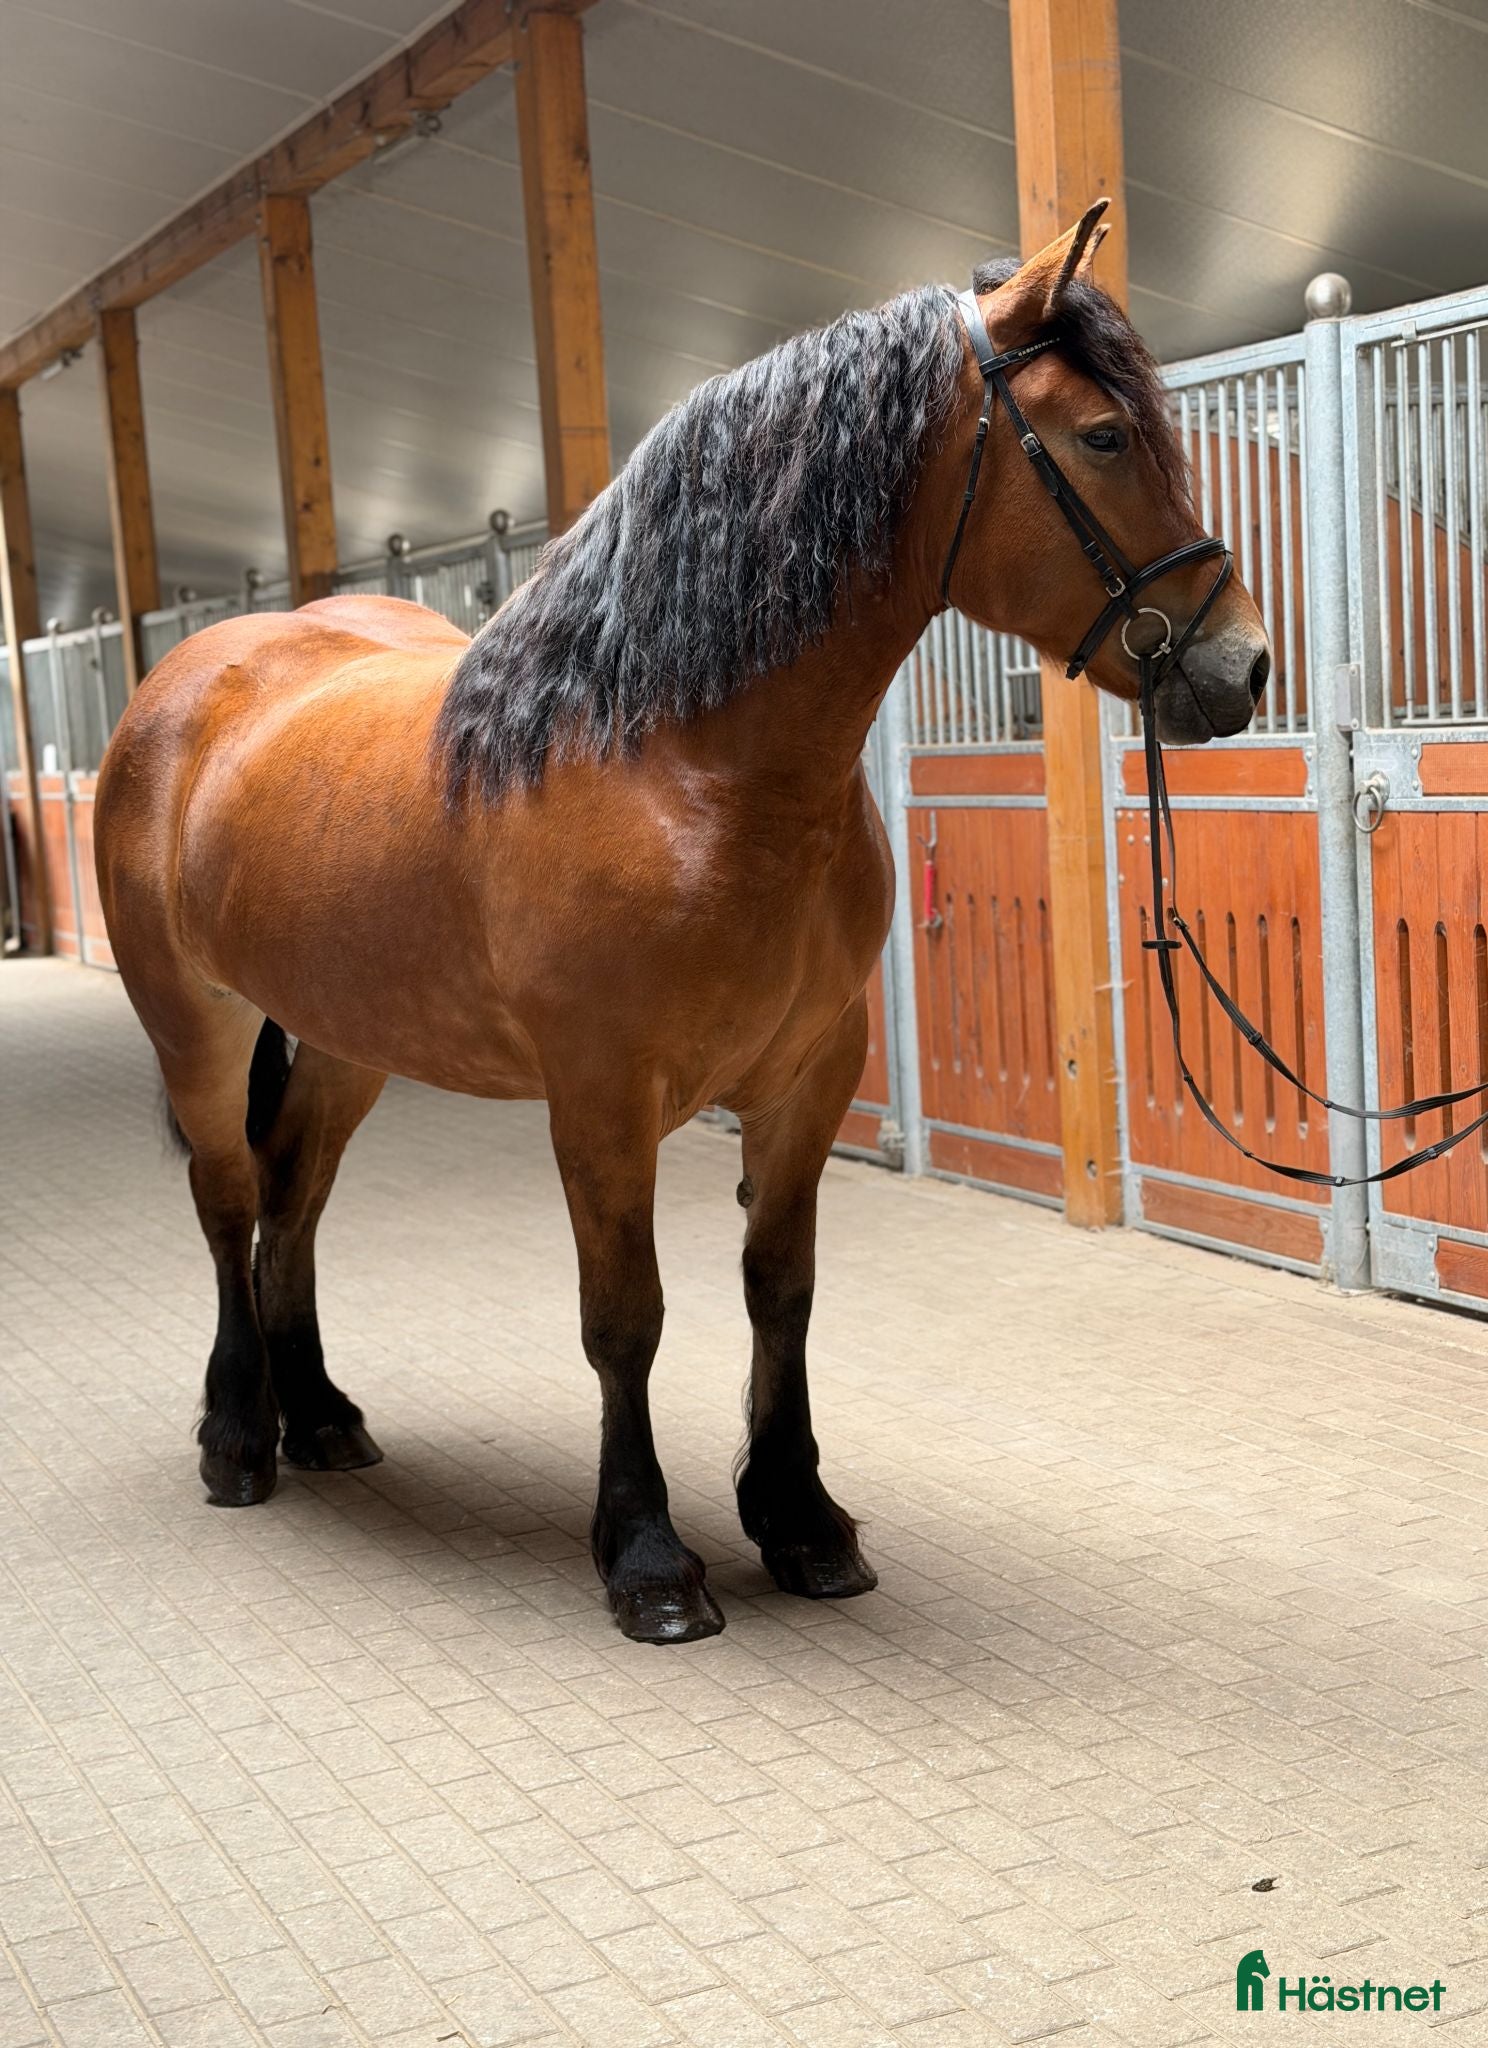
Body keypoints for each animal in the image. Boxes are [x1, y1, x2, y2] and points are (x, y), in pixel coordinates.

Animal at [94, 201, 1269, 1645]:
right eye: (1105, 437)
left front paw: (802, 1520)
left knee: (295, 1202)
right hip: (194, 1023)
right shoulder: (603, 1096)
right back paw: (236, 1439)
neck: (683, 769)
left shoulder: (810, 1075)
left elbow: (783, 1292)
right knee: (226, 1198)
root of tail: (192, 678)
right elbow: (627, 1317)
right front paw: (649, 1557)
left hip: (346, 1038)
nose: (1241, 665)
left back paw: (318, 1418)